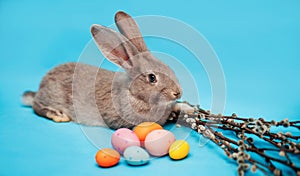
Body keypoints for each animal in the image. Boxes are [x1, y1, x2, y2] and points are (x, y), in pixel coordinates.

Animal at [22, 11, 193, 129]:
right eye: (152, 78)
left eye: (169, 68)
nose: (177, 93)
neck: (132, 93)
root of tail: (41, 85)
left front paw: (187, 108)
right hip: (51, 96)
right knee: (36, 105)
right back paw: (57, 114)